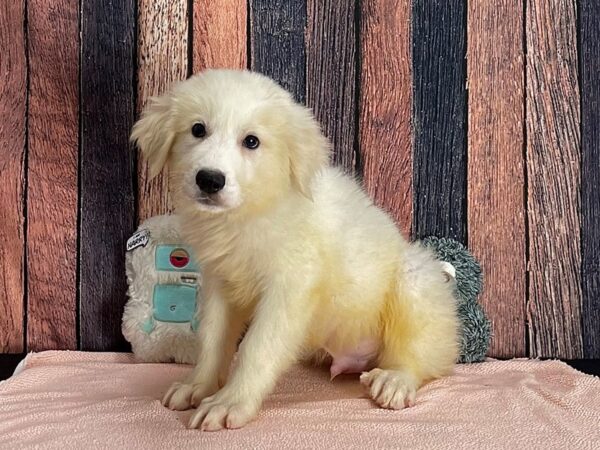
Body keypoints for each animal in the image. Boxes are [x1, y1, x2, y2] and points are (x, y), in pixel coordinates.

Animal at [132, 68, 460, 430]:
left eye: (251, 141)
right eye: (197, 129)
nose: (210, 180)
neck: (251, 212)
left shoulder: (289, 288)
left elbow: (256, 348)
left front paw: (230, 402)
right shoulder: (221, 284)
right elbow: (212, 341)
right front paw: (197, 386)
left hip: (415, 279)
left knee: (424, 355)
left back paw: (395, 379)